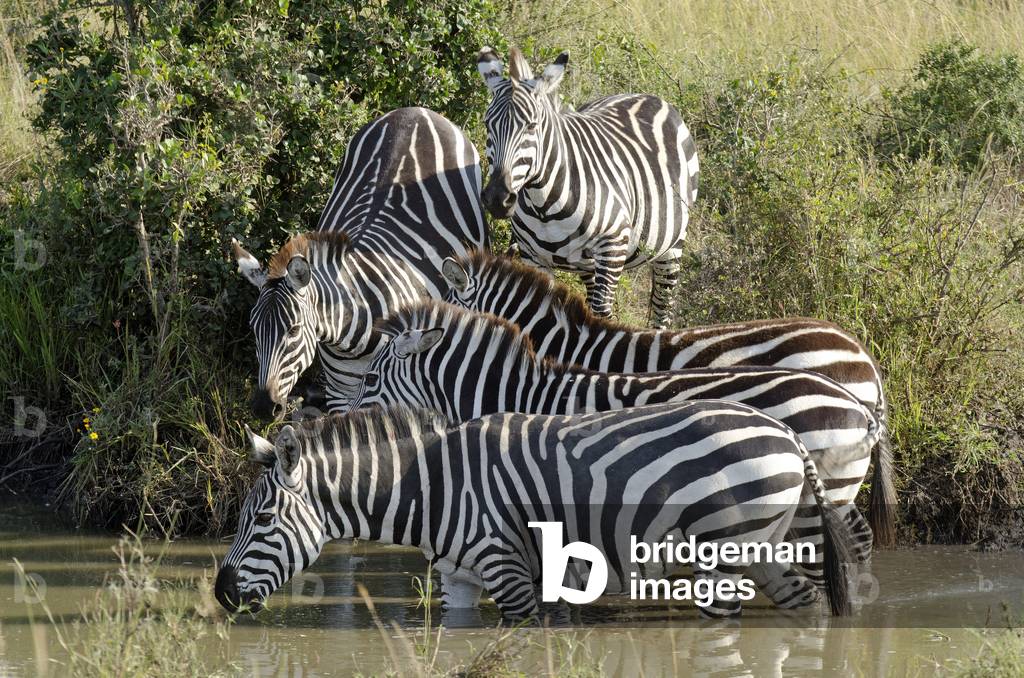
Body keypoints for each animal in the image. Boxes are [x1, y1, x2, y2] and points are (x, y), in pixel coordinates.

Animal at [215, 402, 857, 620]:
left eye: (263, 522)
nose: (221, 594)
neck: (436, 486)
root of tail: (785, 433)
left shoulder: (509, 569)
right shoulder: (460, 579)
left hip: (724, 551)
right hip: (763, 546)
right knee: (808, 603)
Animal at [232, 107, 488, 419]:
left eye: (293, 330)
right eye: (253, 328)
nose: (263, 408)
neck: (352, 339)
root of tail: (417, 111)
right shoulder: (340, 392)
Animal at [476, 47, 699, 328]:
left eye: (531, 126)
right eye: (487, 124)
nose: (497, 197)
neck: (544, 204)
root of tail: (647, 96)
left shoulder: (612, 246)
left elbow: (602, 315)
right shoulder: (532, 256)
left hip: (672, 246)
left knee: (661, 308)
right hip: (587, 264)